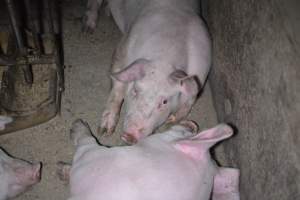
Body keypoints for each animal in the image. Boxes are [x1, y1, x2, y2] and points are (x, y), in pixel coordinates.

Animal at [83, 0, 212, 144]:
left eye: (164, 102)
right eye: (135, 90)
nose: (129, 135)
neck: (165, 60)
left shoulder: (199, 80)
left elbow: (186, 107)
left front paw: (170, 122)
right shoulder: (123, 50)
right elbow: (117, 86)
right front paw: (104, 132)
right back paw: (87, 30)